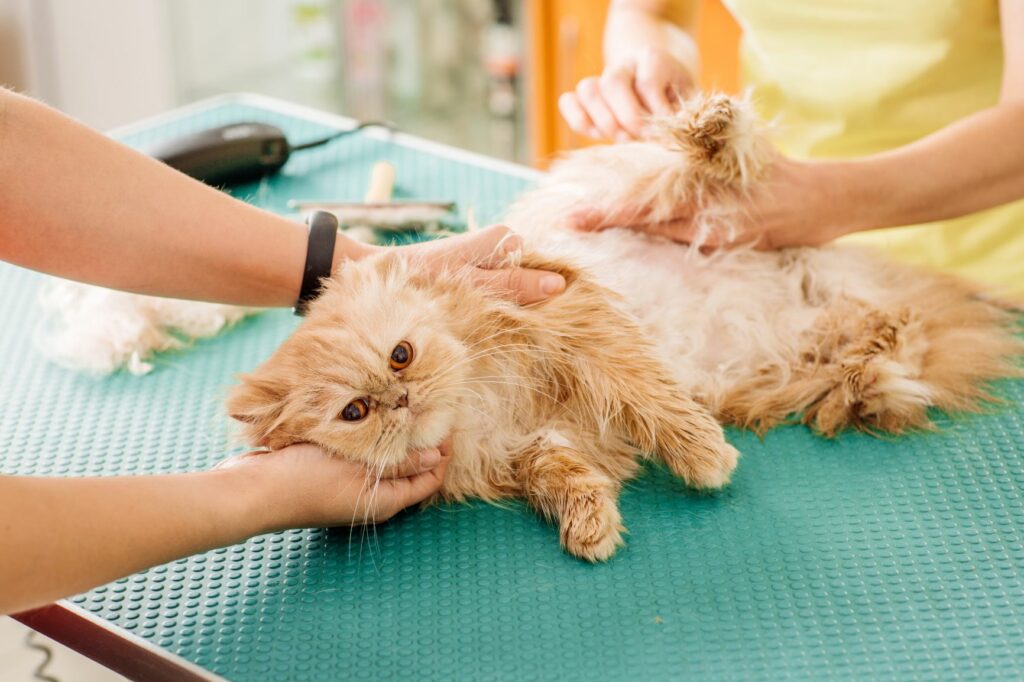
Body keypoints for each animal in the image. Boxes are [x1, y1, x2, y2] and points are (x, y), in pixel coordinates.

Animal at [228, 93, 1019, 561]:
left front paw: (705, 458)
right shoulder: (538, 443)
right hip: (808, 354)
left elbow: (655, 404)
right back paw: (876, 363)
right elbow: (561, 475)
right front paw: (590, 525)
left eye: (400, 355)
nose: (401, 401)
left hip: (674, 195)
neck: (477, 404)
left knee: (718, 160)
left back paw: (709, 127)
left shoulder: (575, 319)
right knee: (880, 341)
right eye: (355, 413)